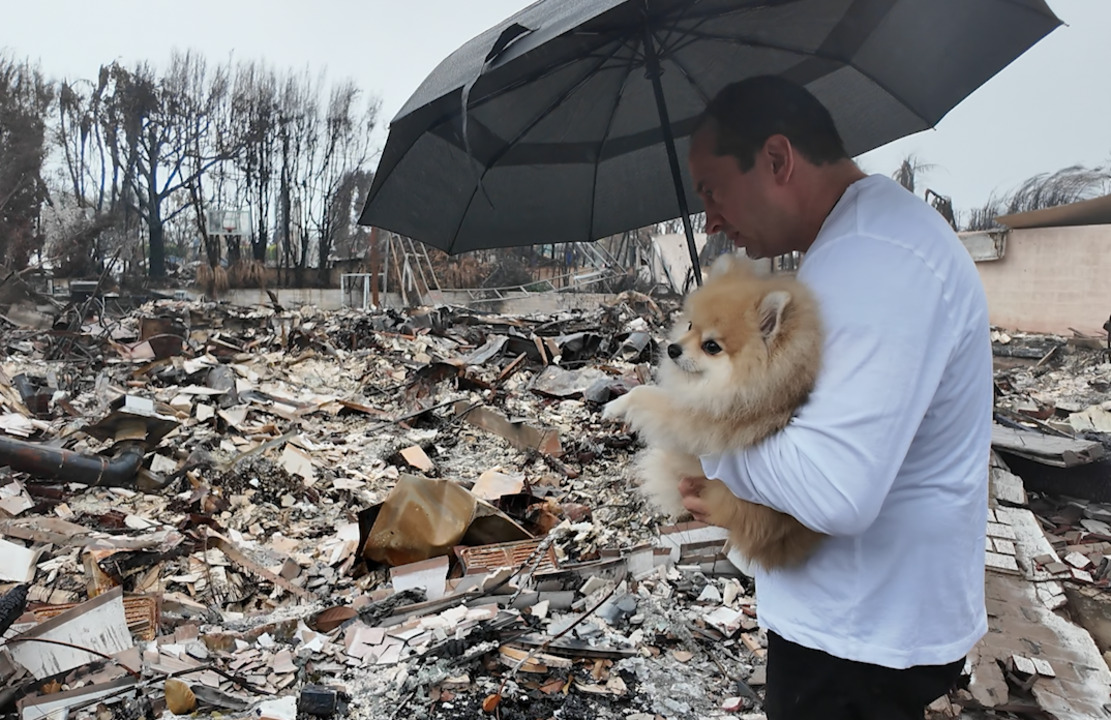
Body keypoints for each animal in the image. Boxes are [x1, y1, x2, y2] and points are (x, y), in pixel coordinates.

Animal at [608, 255, 826, 568]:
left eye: (711, 346)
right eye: (689, 325)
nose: (672, 349)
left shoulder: (694, 419)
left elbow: (646, 395)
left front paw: (615, 405)